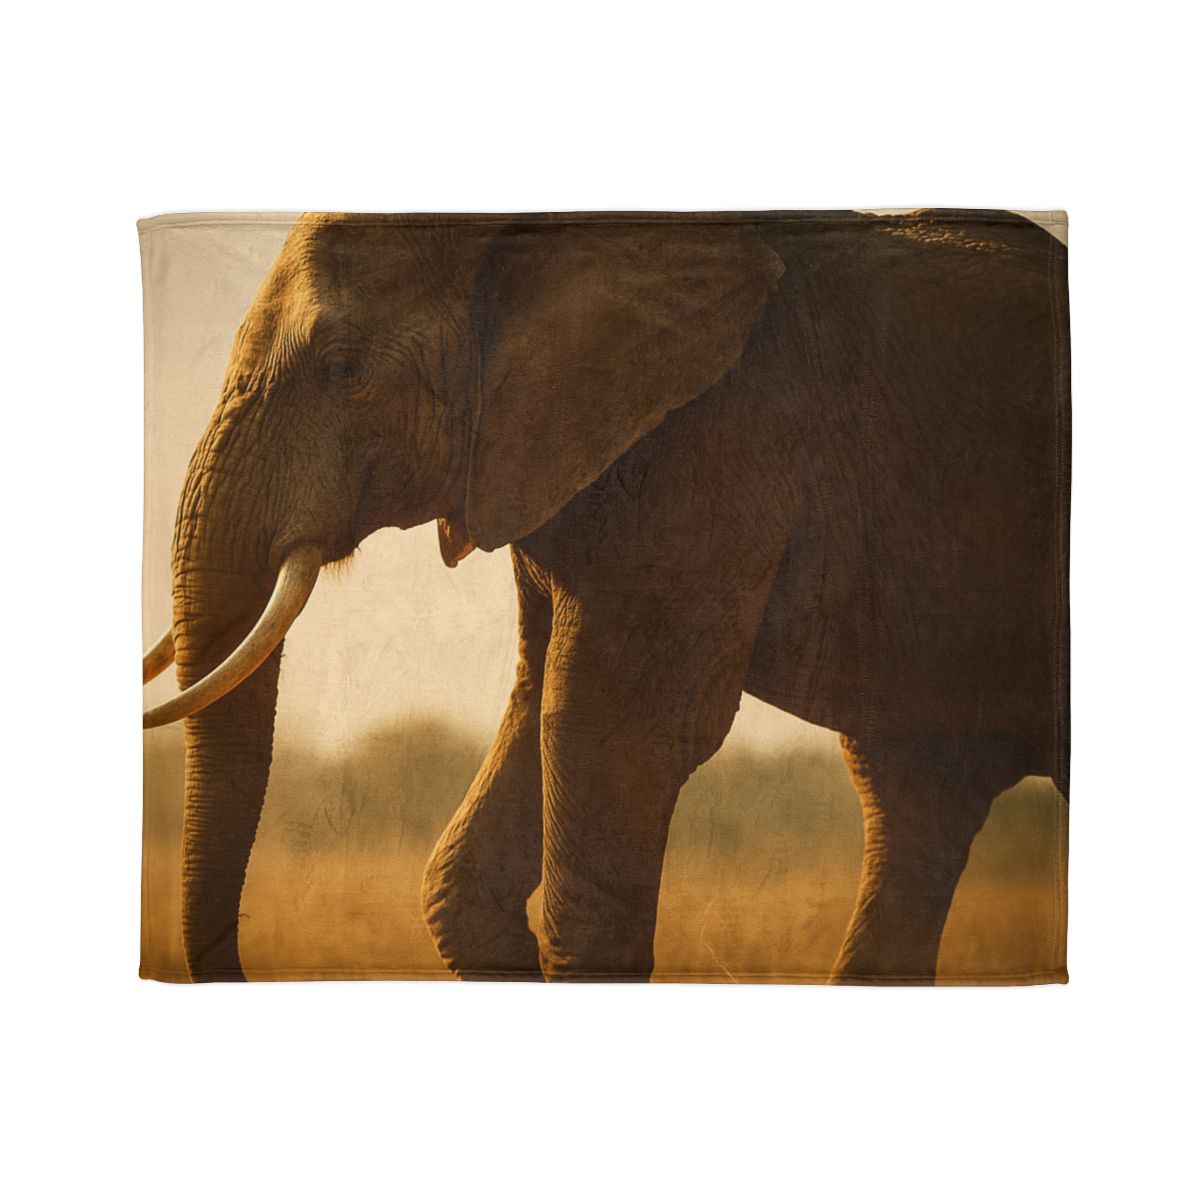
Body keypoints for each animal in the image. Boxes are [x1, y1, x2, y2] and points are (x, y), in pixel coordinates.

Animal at [142, 209, 1069, 984]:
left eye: (342, 370)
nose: (245, 970)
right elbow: (535, 724)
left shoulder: (711, 439)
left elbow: (614, 732)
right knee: (916, 803)